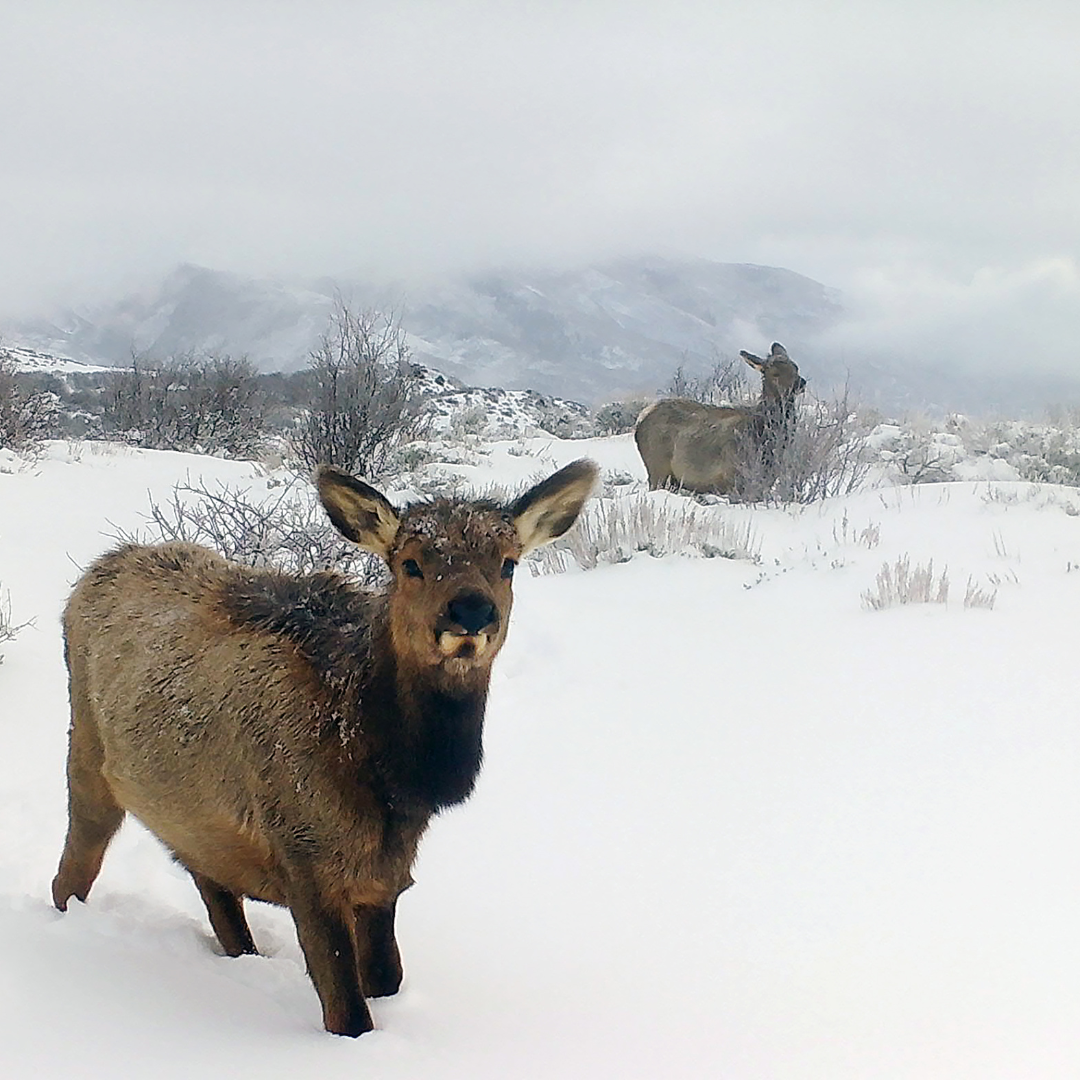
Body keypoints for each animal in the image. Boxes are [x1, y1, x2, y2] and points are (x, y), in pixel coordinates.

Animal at [51, 458, 598, 1037]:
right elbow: (349, 1014)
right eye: (409, 563)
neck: (394, 779)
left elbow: (387, 977)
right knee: (70, 874)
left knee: (212, 889)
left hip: (193, 817)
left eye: (509, 563)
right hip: (87, 757)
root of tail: (94, 572)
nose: (470, 610)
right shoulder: (306, 861)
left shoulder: (384, 878)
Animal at [634, 343, 807, 497]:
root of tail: (640, 420)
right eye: (775, 373)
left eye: (796, 367)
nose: (801, 383)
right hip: (657, 469)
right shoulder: (735, 477)